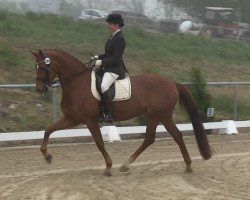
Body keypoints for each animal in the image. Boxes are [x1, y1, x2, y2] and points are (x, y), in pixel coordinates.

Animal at [30, 49, 212, 176]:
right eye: (36, 67)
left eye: (44, 67)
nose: (39, 90)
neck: (76, 83)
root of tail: (172, 82)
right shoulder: (72, 119)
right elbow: (48, 130)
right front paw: (47, 156)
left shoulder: (90, 120)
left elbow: (99, 143)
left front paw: (108, 167)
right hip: (162, 116)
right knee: (174, 136)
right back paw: (187, 165)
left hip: (157, 115)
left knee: (152, 138)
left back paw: (126, 165)